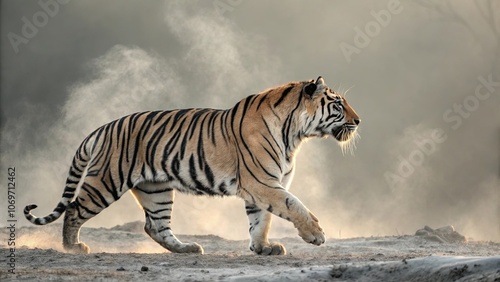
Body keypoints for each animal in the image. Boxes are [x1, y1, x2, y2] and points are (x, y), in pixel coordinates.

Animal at [24, 76, 360, 256]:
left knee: (155, 226)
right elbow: (294, 206)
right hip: (106, 181)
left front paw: (263, 248)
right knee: (74, 209)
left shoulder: (263, 186)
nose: (358, 121)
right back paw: (73, 247)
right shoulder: (262, 183)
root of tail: (103, 127)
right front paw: (316, 235)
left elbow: (260, 221)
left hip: (156, 190)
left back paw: (188, 249)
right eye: (338, 105)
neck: (295, 134)